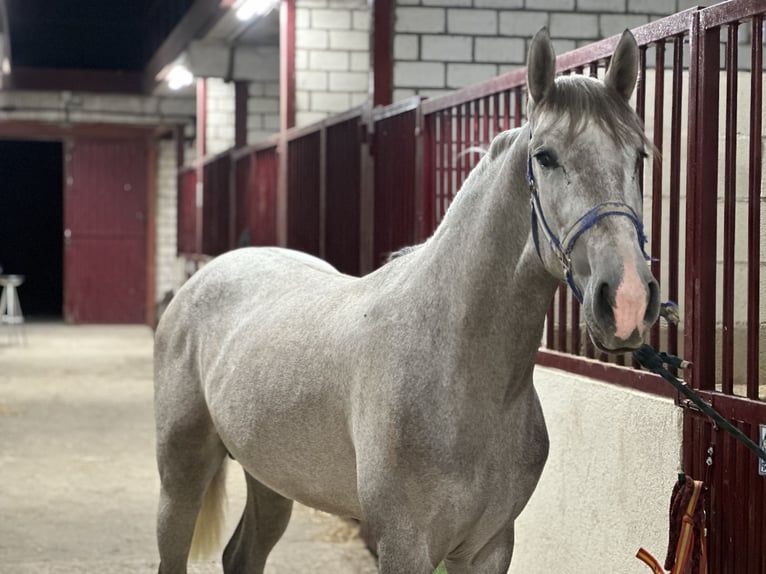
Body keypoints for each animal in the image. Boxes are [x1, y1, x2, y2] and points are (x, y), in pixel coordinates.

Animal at [154, 28, 660, 574]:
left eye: (638, 157)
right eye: (545, 156)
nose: (628, 300)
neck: (459, 372)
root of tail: (206, 275)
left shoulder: (490, 545)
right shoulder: (405, 543)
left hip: (270, 476)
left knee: (242, 554)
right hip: (181, 476)